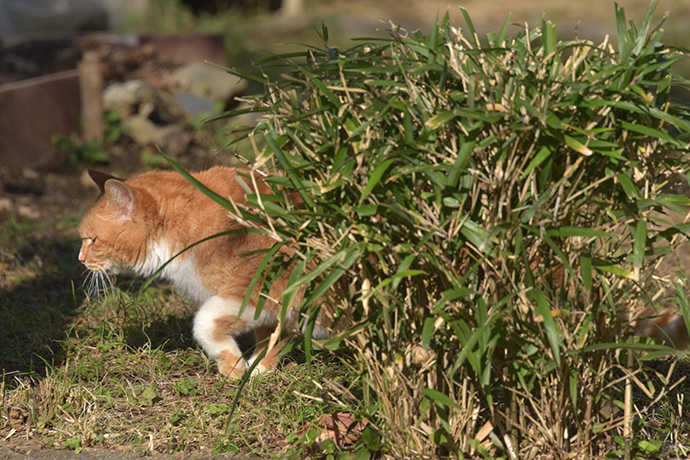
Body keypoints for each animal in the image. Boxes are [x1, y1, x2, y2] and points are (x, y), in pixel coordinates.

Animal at [79, 165, 326, 378]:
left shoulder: (263, 287)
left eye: (92, 240)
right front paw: (257, 369)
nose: (81, 259)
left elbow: (205, 322)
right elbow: (273, 337)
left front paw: (234, 367)